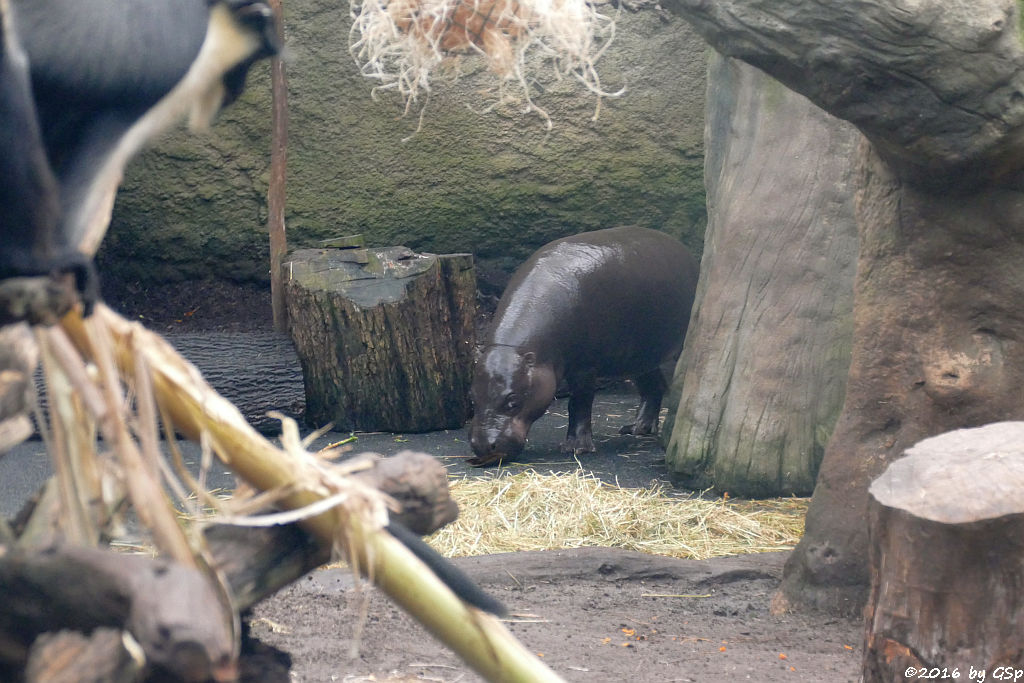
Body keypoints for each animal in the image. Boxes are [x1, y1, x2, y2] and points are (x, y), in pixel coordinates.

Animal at [468, 227, 700, 466]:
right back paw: (636, 428)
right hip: (640, 354)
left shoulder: (584, 366)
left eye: (513, 401)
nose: (483, 445)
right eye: (472, 397)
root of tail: (683, 250)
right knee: (653, 386)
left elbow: (579, 403)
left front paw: (576, 448)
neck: (517, 349)